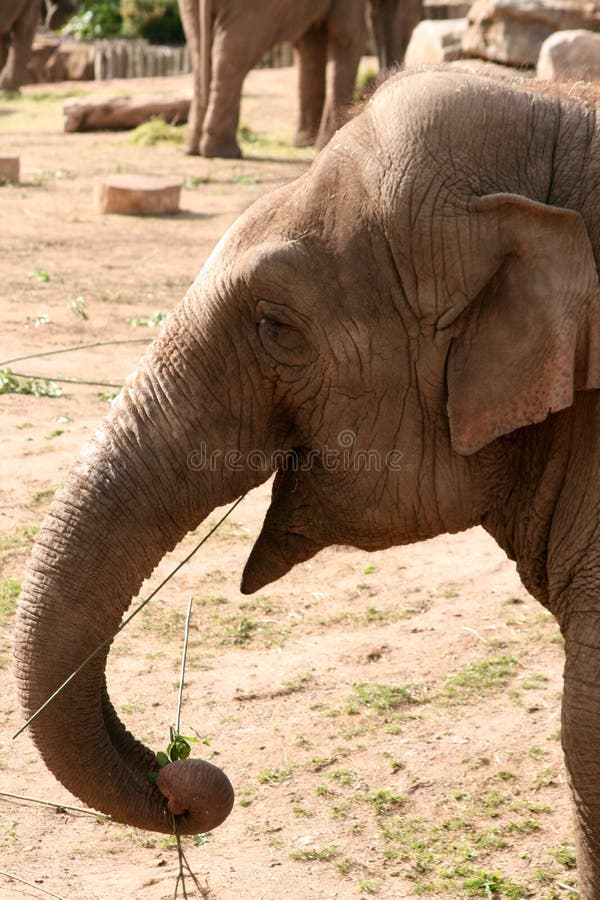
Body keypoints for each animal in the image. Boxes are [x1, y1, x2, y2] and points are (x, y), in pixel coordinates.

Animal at [179, 0, 376, 158]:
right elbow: (347, 35)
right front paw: (323, 144)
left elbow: (311, 43)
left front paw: (306, 144)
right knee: (232, 58)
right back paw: (224, 153)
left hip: (189, 8)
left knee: (200, 52)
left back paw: (195, 150)